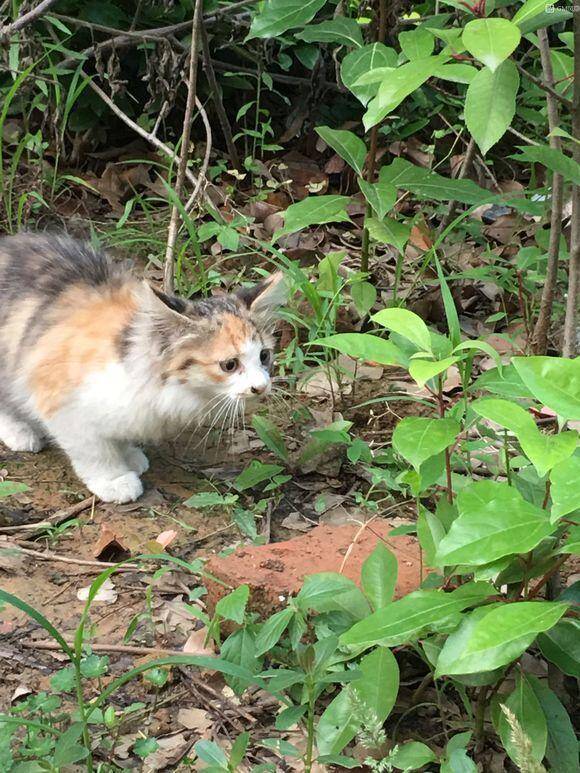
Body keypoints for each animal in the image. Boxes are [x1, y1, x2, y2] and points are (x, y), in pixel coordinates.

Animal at [0, 232, 286, 504]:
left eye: (264, 355)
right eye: (229, 365)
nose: (261, 387)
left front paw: (128, 454)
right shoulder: (57, 396)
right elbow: (93, 448)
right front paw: (114, 479)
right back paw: (20, 432)